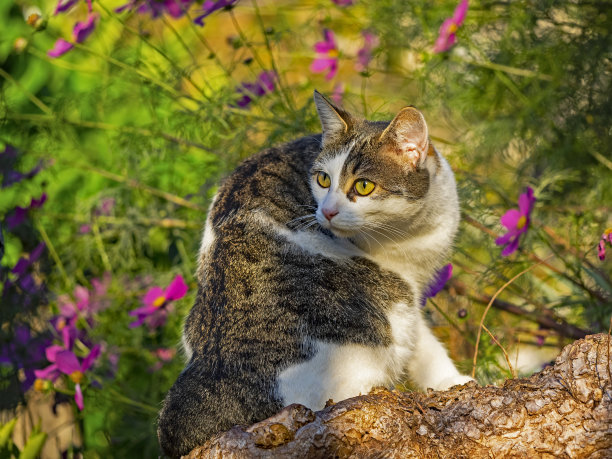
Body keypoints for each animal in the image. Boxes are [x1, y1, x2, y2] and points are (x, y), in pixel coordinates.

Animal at [158, 91, 474, 458]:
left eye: (363, 186)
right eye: (323, 180)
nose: (327, 211)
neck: (415, 227)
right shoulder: (407, 287)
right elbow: (426, 346)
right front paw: (453, 382)